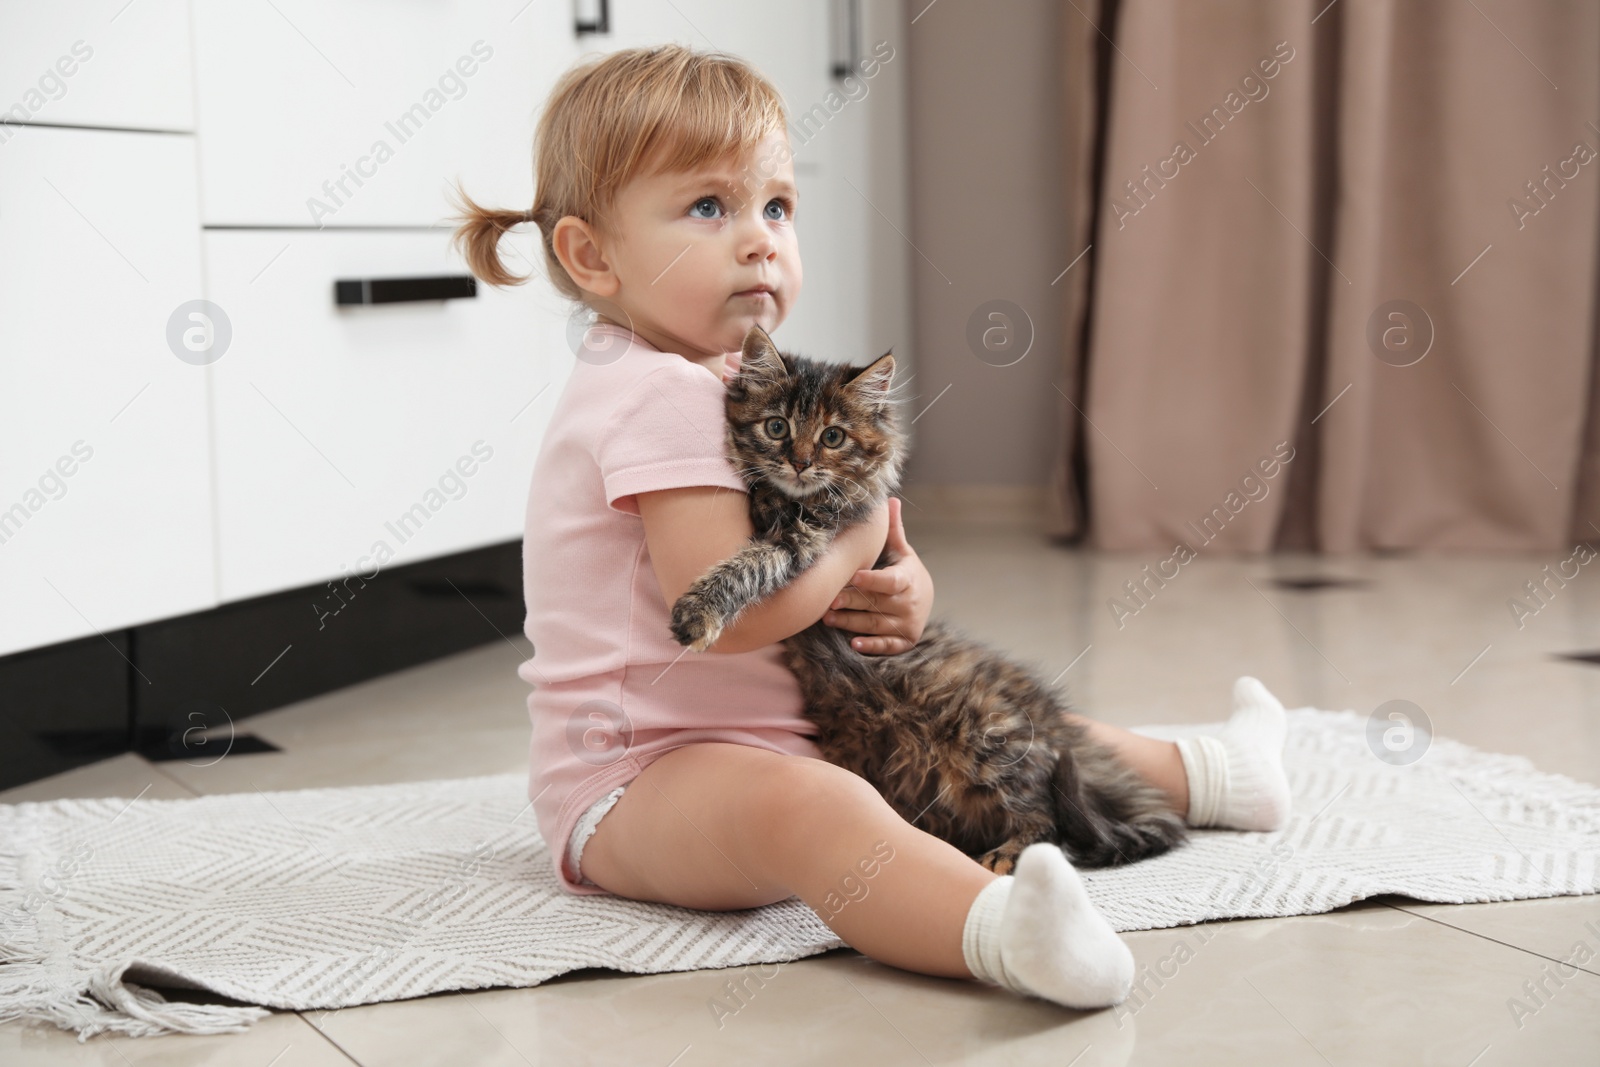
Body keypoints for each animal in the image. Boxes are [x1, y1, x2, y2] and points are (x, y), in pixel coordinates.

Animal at [665, 327, 1190, 876]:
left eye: (833, 437)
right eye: (776, 427)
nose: (801, 462)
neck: (793, 502)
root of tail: (1054, 721)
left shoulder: (808, 541)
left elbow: (748, 564)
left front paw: (698, 613)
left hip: (987, 739)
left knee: (1049, 820)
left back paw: (1005, 858)